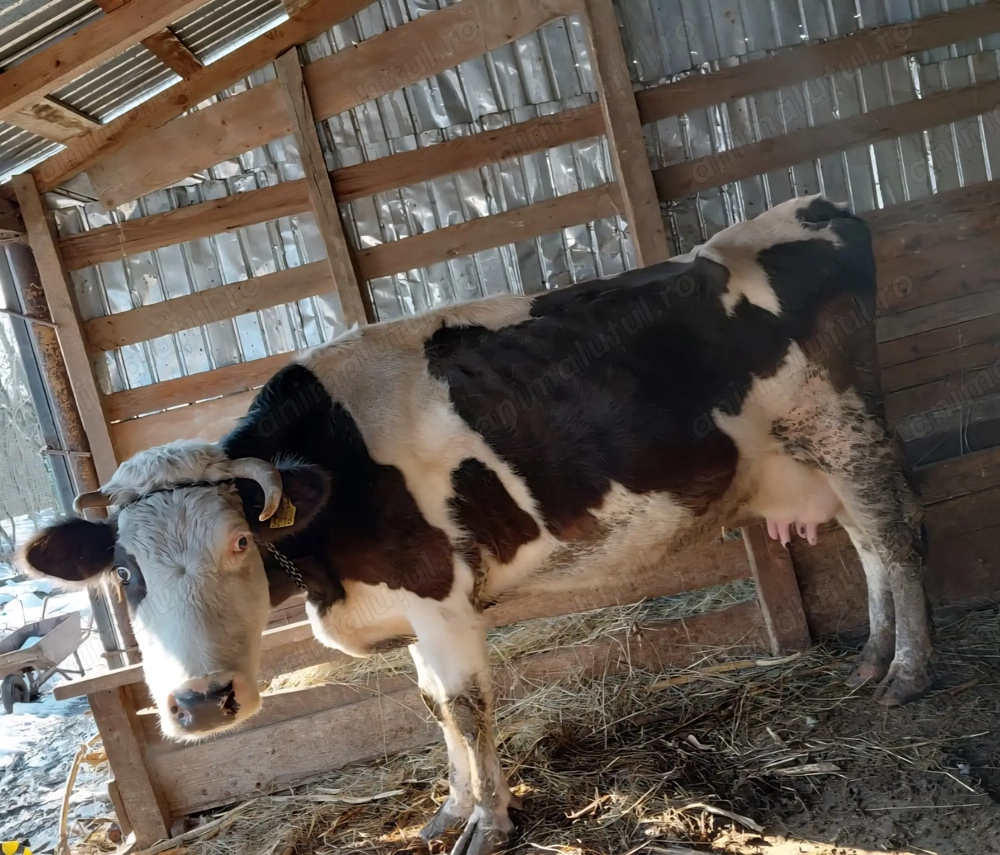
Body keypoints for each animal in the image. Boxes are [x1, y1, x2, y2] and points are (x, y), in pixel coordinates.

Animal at [22, 195, 931, 855]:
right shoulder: (409, 606)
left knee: (894, 533)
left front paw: (488, 823)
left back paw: (908, 671)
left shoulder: (439, 593)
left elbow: (461, 705)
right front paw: (447, 809)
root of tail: (816, 206)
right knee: (864, 541)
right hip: (811, 454)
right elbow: (429, 702)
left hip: (846, 427)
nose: (201, 703)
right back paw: (870, 659)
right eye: (127, 575)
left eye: (239, 541)